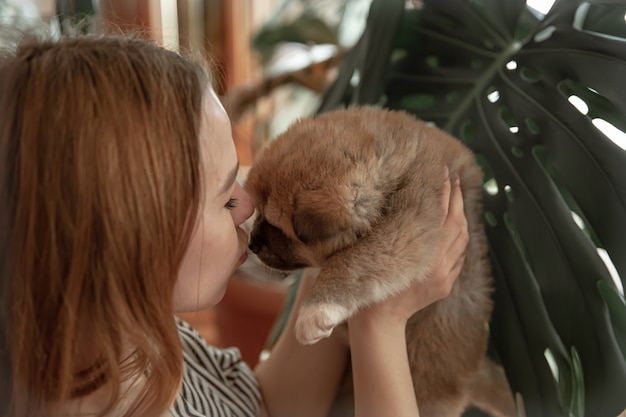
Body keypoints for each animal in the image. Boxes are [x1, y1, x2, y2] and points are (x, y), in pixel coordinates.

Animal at [244, 107, 512, 416]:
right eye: (258, 213)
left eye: (276, 228)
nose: (251, 244)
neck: (396, 165)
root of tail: (474, 374)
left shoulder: (408, 224)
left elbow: (352, 261)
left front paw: (316, 310)